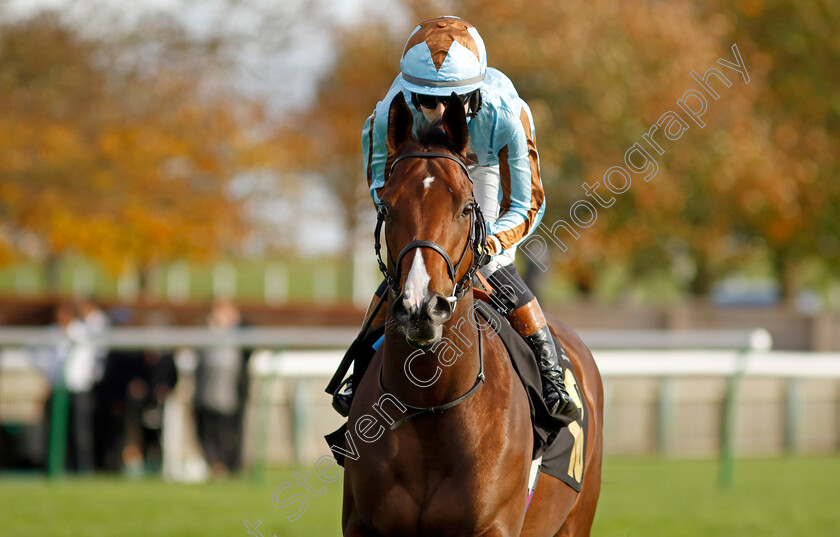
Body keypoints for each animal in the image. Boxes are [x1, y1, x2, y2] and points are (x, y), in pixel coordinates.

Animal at [342, 93, 604, 536]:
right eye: (387, 208)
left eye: (466, 207)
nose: (421, 307)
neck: (430, 406)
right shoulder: (361, 526)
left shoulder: (493, 526)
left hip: (577, 520)